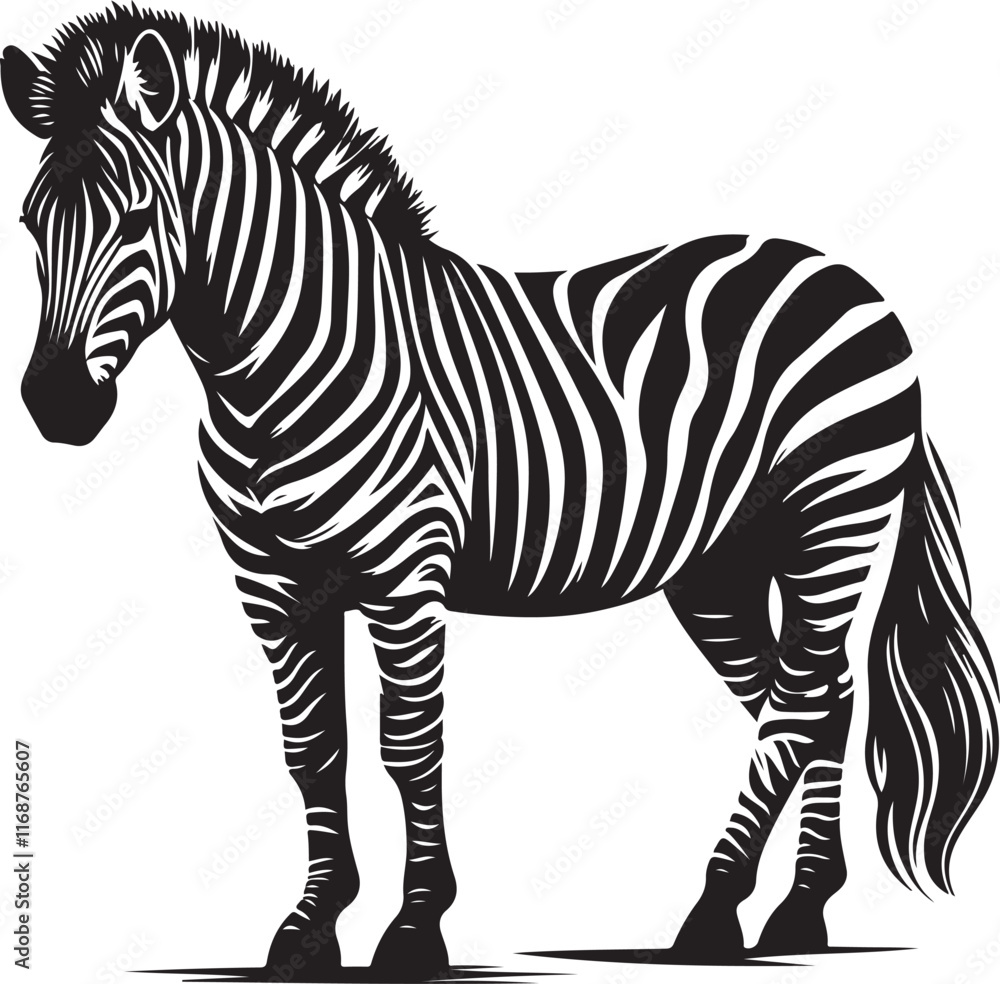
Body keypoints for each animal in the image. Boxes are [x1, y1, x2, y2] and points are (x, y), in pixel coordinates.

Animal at [3, 6, 997, 977]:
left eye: (137, 217)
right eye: (29, 223)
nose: (55, 405)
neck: (273, 376)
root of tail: (846, 274)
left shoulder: (405, 576)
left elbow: (409, 747)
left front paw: (415, 928)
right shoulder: (275, 593)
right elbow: (313, 754)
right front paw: (312, 927)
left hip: (834, 518)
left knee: (798, 703)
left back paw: (716, 912)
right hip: (720, 566)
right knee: (824, 698)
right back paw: (800, 909)